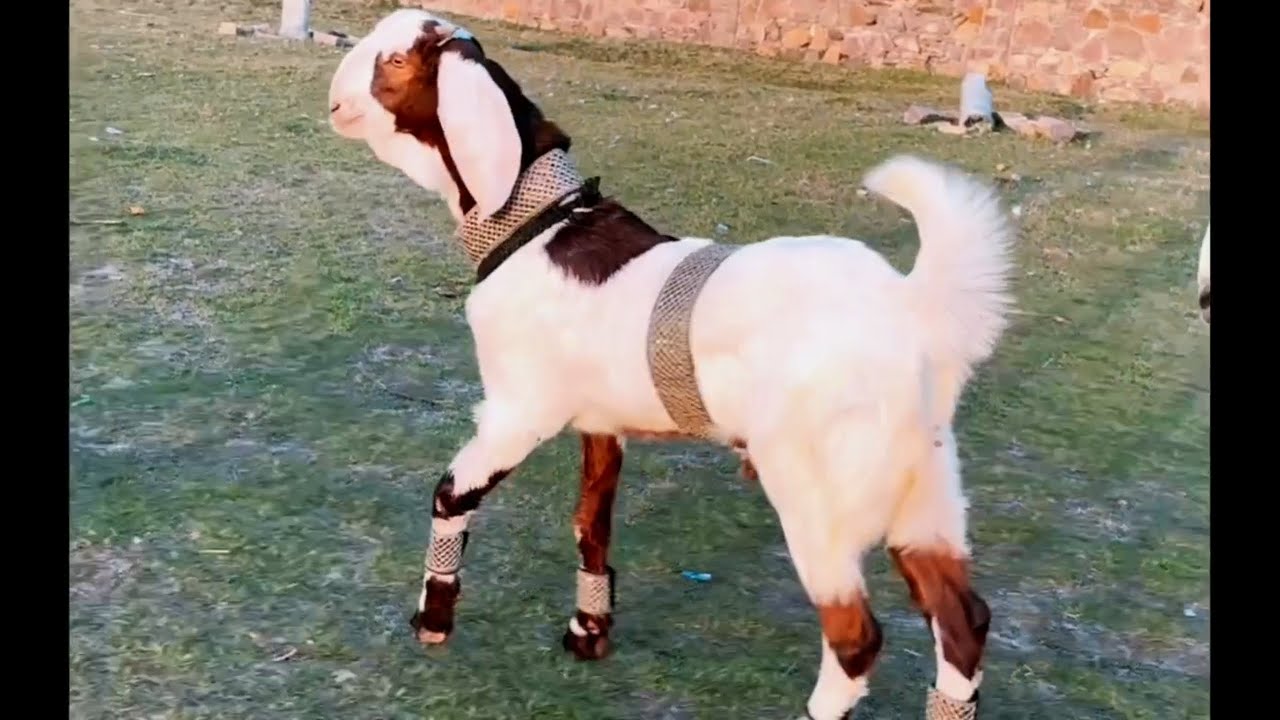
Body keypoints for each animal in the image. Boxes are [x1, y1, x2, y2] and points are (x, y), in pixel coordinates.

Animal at [326, 10, 1014, 719]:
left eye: (397, 61)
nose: (334, 102)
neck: (539, 226)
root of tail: (912, 310)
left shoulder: (518, 412)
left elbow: (449, 493)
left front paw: (434, 620)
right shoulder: (602, 425)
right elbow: (591, 524)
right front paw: (589, 630)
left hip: (818, 495)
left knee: (856, 636)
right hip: (926, 494)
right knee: (964, 621)